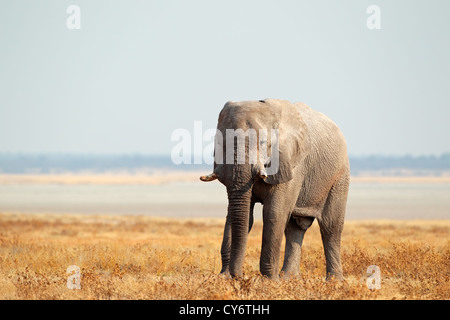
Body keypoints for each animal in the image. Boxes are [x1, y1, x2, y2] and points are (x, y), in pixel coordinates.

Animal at [199, 98, 350, 280]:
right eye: (221, 143)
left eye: (263, 143)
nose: (240, 276)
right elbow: (239, 215)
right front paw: (224, 278)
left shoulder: (291, 163)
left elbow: (274, 213)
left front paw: (268, 281)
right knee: (294, 228)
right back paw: (289, 278)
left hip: (339, 176)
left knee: (330, 226)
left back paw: (334, 281)